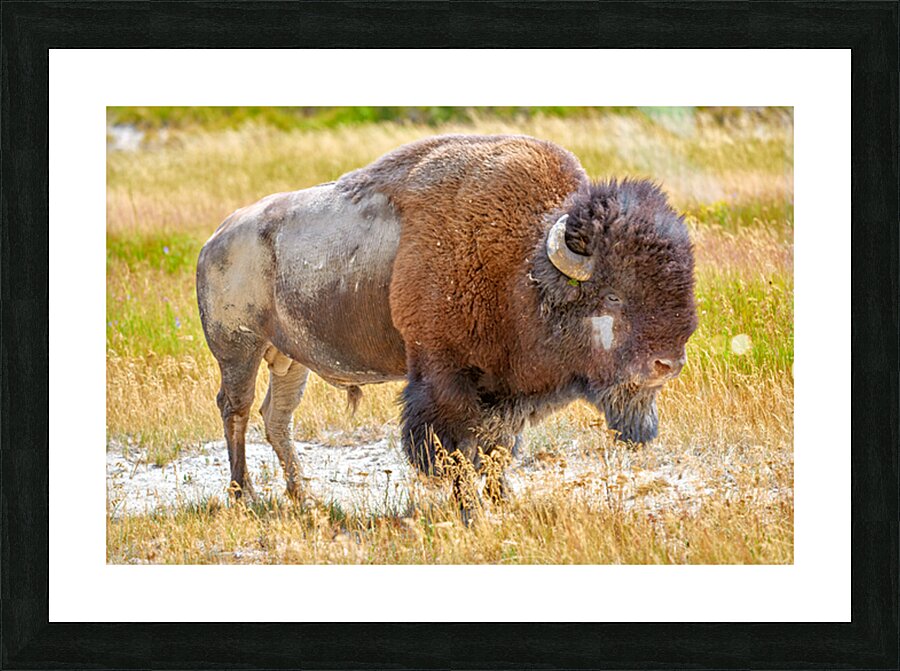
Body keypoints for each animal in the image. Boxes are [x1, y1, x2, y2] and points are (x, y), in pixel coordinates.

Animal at [197, 134, 697, 501]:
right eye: (613, 296)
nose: (666, 364)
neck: (524, 266)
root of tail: (215, 239)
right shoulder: (444, 379)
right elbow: (455, 452)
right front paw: (468, 509)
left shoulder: (504, 394)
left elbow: (498, 451)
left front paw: (502, 502)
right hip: (238, 348)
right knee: (237, 408)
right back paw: (246, 496)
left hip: (289, 360)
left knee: (276, 417)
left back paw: (303, 495)